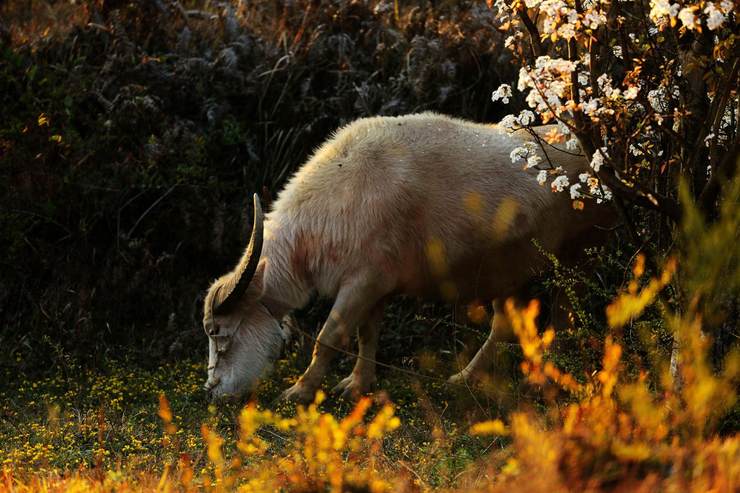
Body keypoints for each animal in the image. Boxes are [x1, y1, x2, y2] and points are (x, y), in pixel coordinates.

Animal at [201, 111, 612, 400]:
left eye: (219, 332)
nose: (213, 389)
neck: (338, 197)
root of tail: (593, 157)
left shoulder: (361, 282)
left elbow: (329, 336)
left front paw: (300, 390)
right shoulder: (376, 288)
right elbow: (367, 334)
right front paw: (357, 384)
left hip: (576, 256)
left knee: (562, 316)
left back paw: (537, 382)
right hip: (509, 270)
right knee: (507, 324)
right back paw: (466, 378)